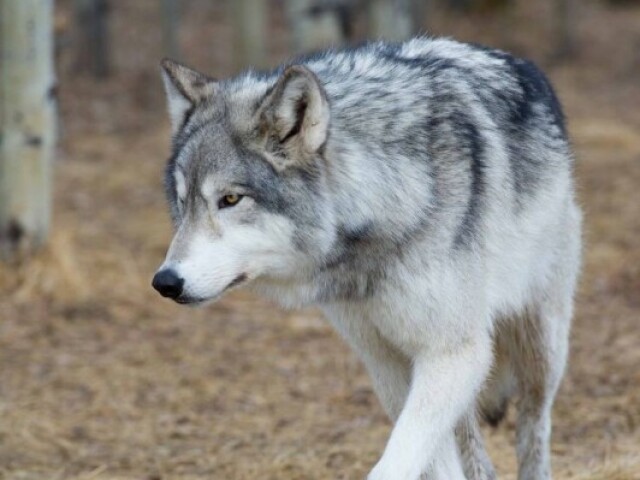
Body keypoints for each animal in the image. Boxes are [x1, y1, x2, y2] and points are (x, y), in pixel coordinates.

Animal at [152, 35, 584, 478]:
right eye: (182, 202)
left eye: (230, 199)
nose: (165, 282)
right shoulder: (386, 360)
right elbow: (431, 459)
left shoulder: (453, 352)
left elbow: (401, 455)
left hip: (539, 350)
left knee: (534, 425)